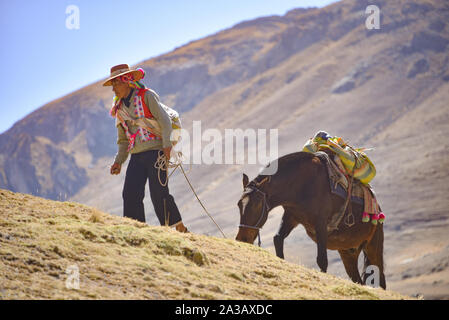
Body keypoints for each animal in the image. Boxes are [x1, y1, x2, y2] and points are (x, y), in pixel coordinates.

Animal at [234, 151, 384, 288]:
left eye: (257, 204)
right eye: (239, 204)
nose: (242, 238)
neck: (301, 184)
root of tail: (378, 209)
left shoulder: (321, 224)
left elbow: (322, 259)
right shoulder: (291, 216)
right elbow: (277, 239)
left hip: (373, 248)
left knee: (381, 280)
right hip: (348, 253)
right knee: (358, 280)